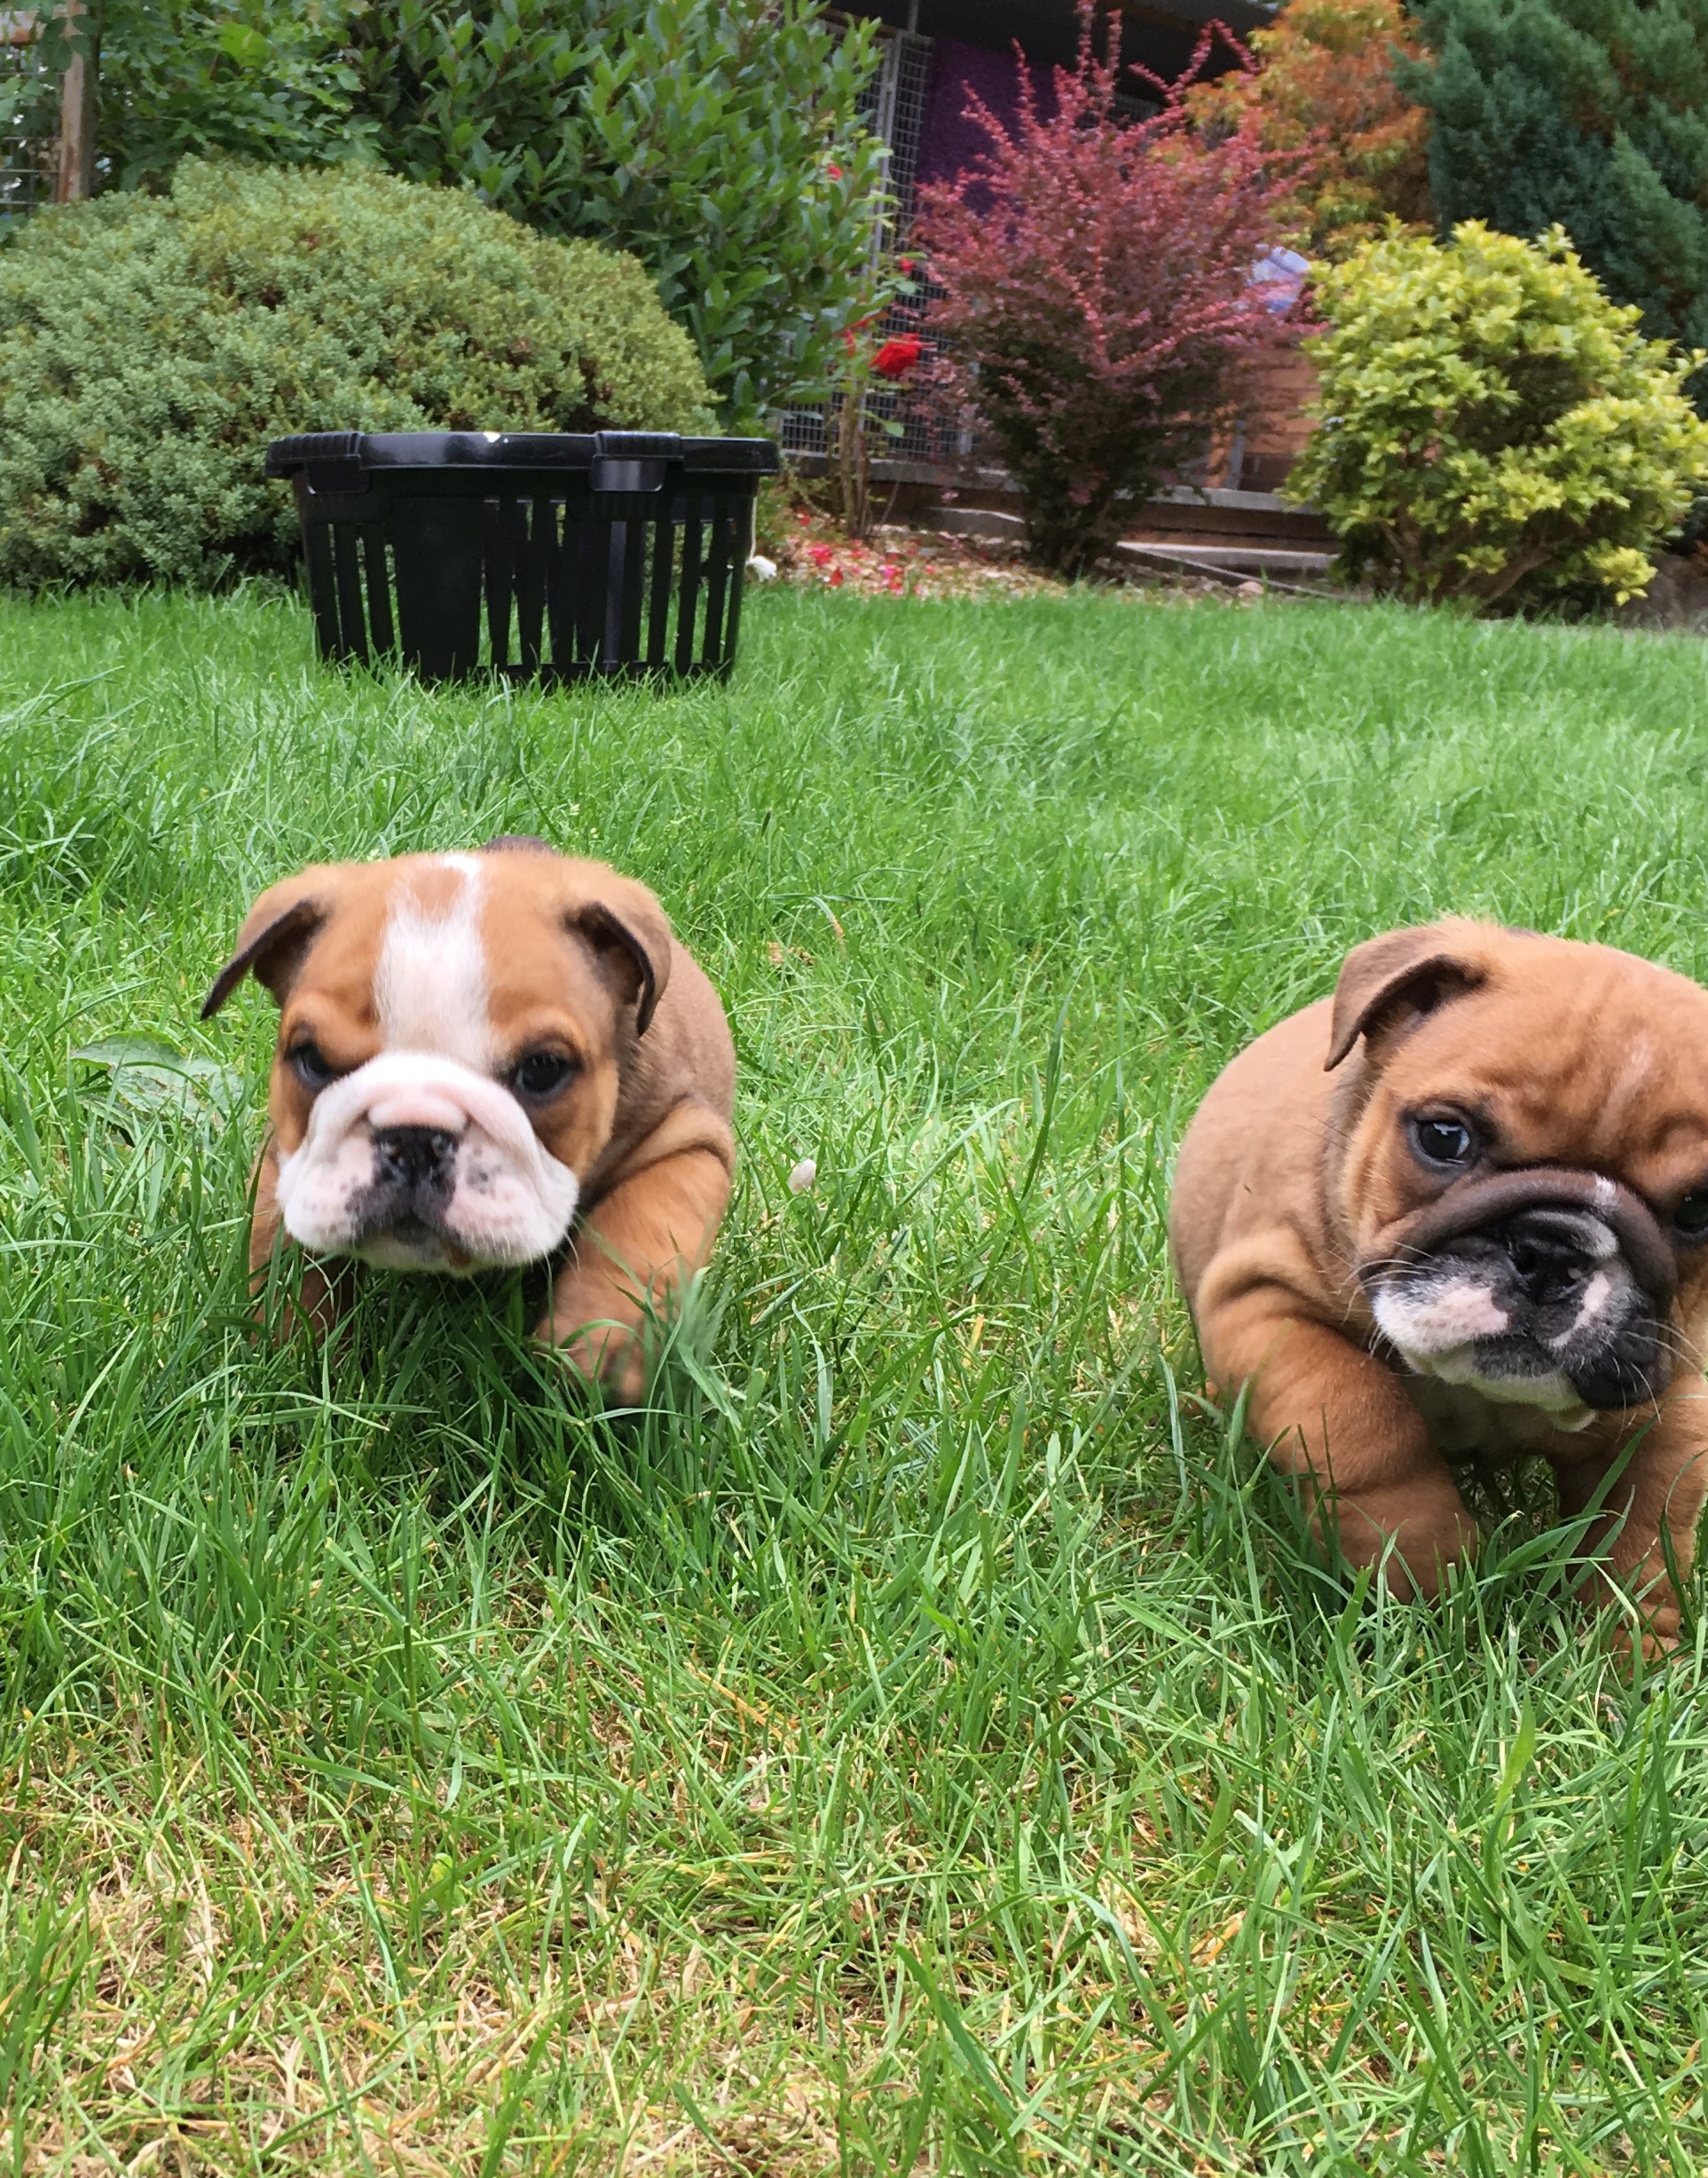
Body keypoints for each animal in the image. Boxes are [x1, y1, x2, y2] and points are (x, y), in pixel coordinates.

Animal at [202, 837, 735, 1396]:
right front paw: (289, 1353)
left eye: (543, 1069)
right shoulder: (289, 1159)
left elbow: (646, 1218)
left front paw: (602, 1339)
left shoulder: (687, 1138)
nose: (414, 1138)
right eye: (312, 1058)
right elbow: (283, 1253)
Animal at [1170, 920, 1708, 1646]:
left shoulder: (1674, 1395)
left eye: (1697, 1209)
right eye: (1444, 1136)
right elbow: (1366, 1426)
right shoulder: (1268, 1308)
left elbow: (1641, 1532)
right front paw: (1426, 1581)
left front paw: (1631, 1650)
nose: (1551, 1252)